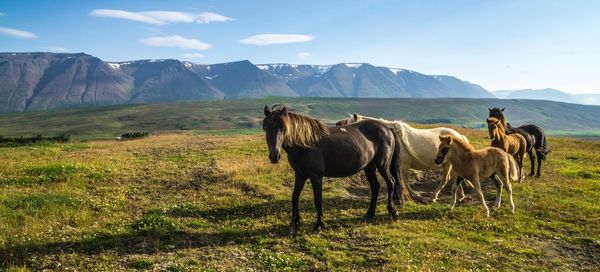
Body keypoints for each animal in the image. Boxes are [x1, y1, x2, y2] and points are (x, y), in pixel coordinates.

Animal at [262, 105, 404, 231]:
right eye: (266, 127)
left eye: (283, 127)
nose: (274, 156)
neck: (305, 143)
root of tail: (387, 129)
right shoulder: (300, 174)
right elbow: (295, 196)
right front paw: (295, 221)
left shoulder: (316, 177)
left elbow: (318, 200)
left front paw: (320, 224)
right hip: (369, 168)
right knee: (375, 187)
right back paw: (370, 213)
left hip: (383, 166)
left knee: (391, 183)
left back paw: (392, 212)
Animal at [338, 113, 474, 202]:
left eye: (351, 125)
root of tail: (459, 136)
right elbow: (397, 180)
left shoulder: (404, 165)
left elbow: (404, 181)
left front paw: (413, 196)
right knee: (455, 178)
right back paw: (461, 196)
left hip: (447, 164)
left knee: (445, 180)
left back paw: (433, 197)